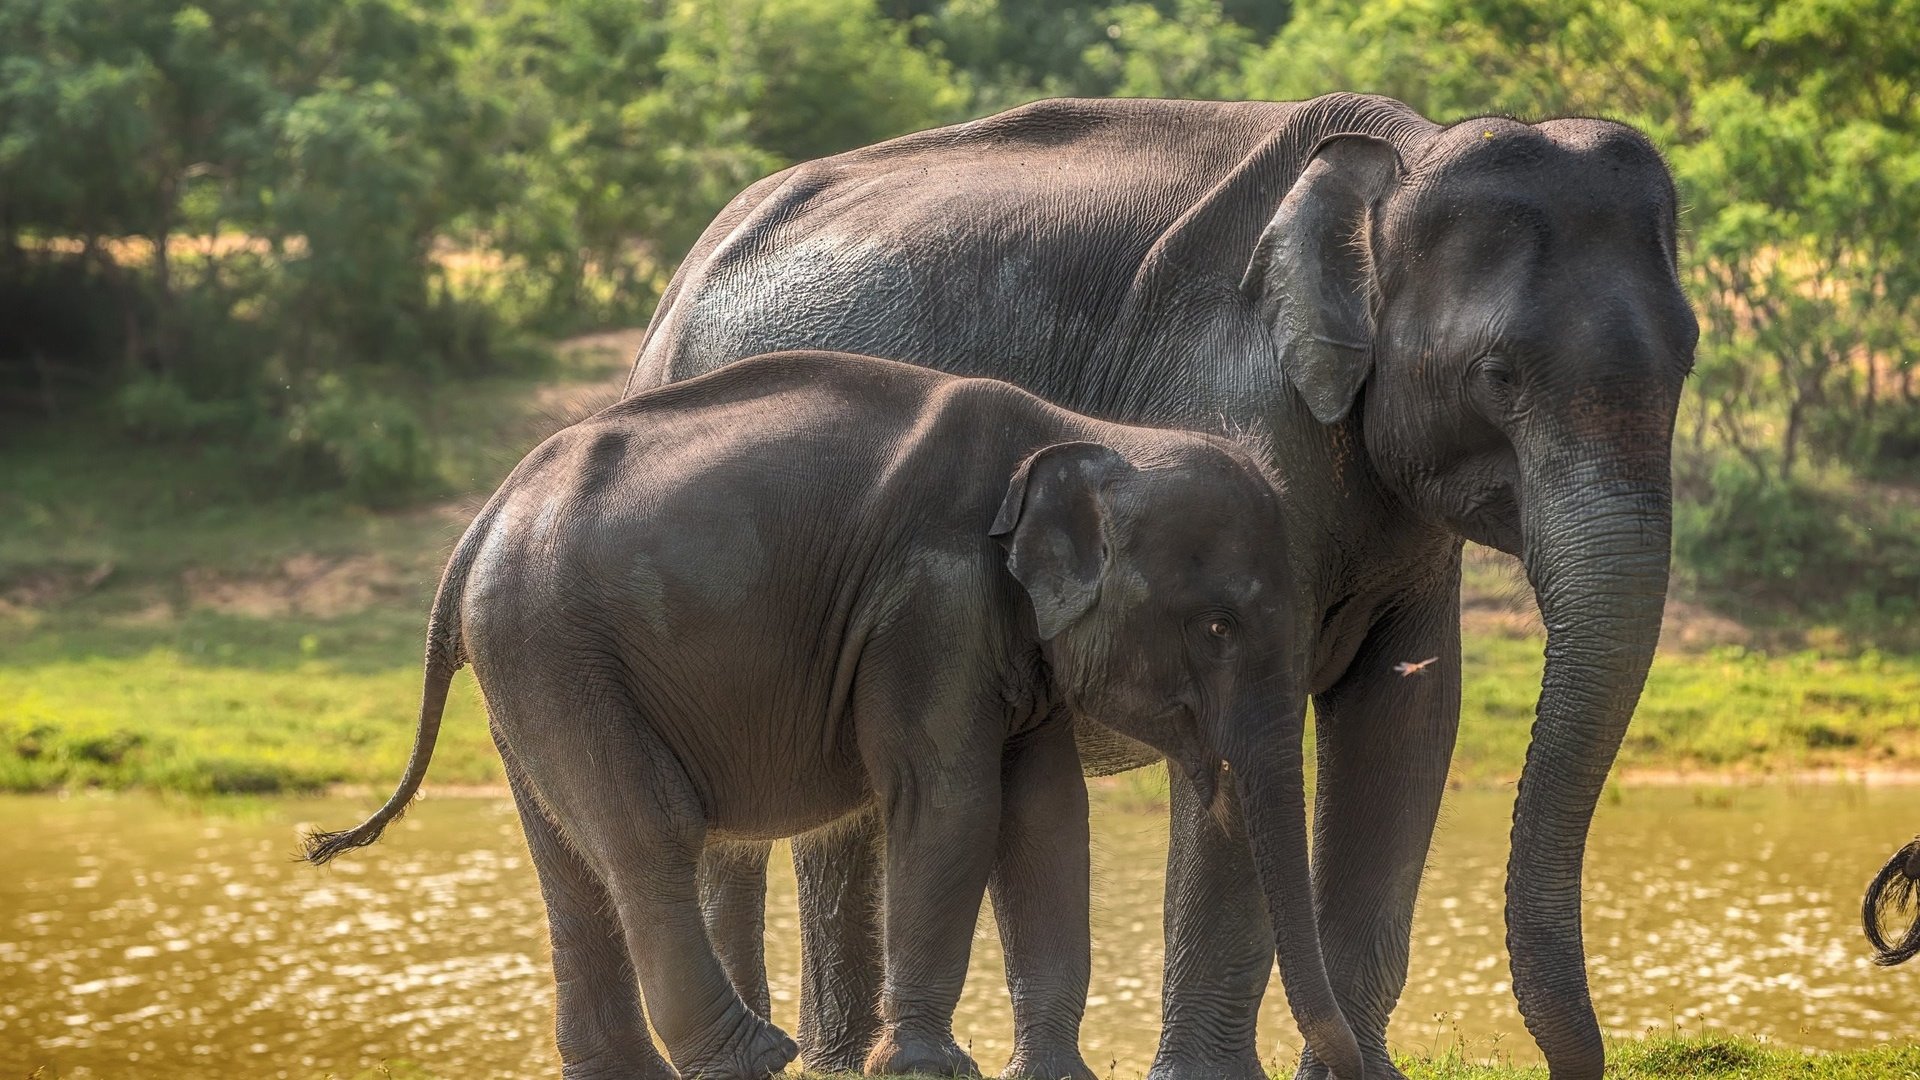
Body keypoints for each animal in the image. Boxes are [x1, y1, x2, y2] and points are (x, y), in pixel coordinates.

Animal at [307, 353, 1359, 1076]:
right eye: (1218, 626)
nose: (1354, 1068)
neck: (1086, 434)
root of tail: (480, 524)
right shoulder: (929, 603)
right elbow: (951, 803)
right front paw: (928, 1070)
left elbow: (1047, 818)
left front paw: (1054, 1074)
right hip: (556, 647)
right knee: (648, 834)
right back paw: (756, 1058)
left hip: (524, 667)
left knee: (571, 860)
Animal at [606, 94, 1689, 1076]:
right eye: (1498, 375)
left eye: (1686, 360)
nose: (1567, 1063)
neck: (1398, 159)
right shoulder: (1233, 413)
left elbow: (1407, 718)